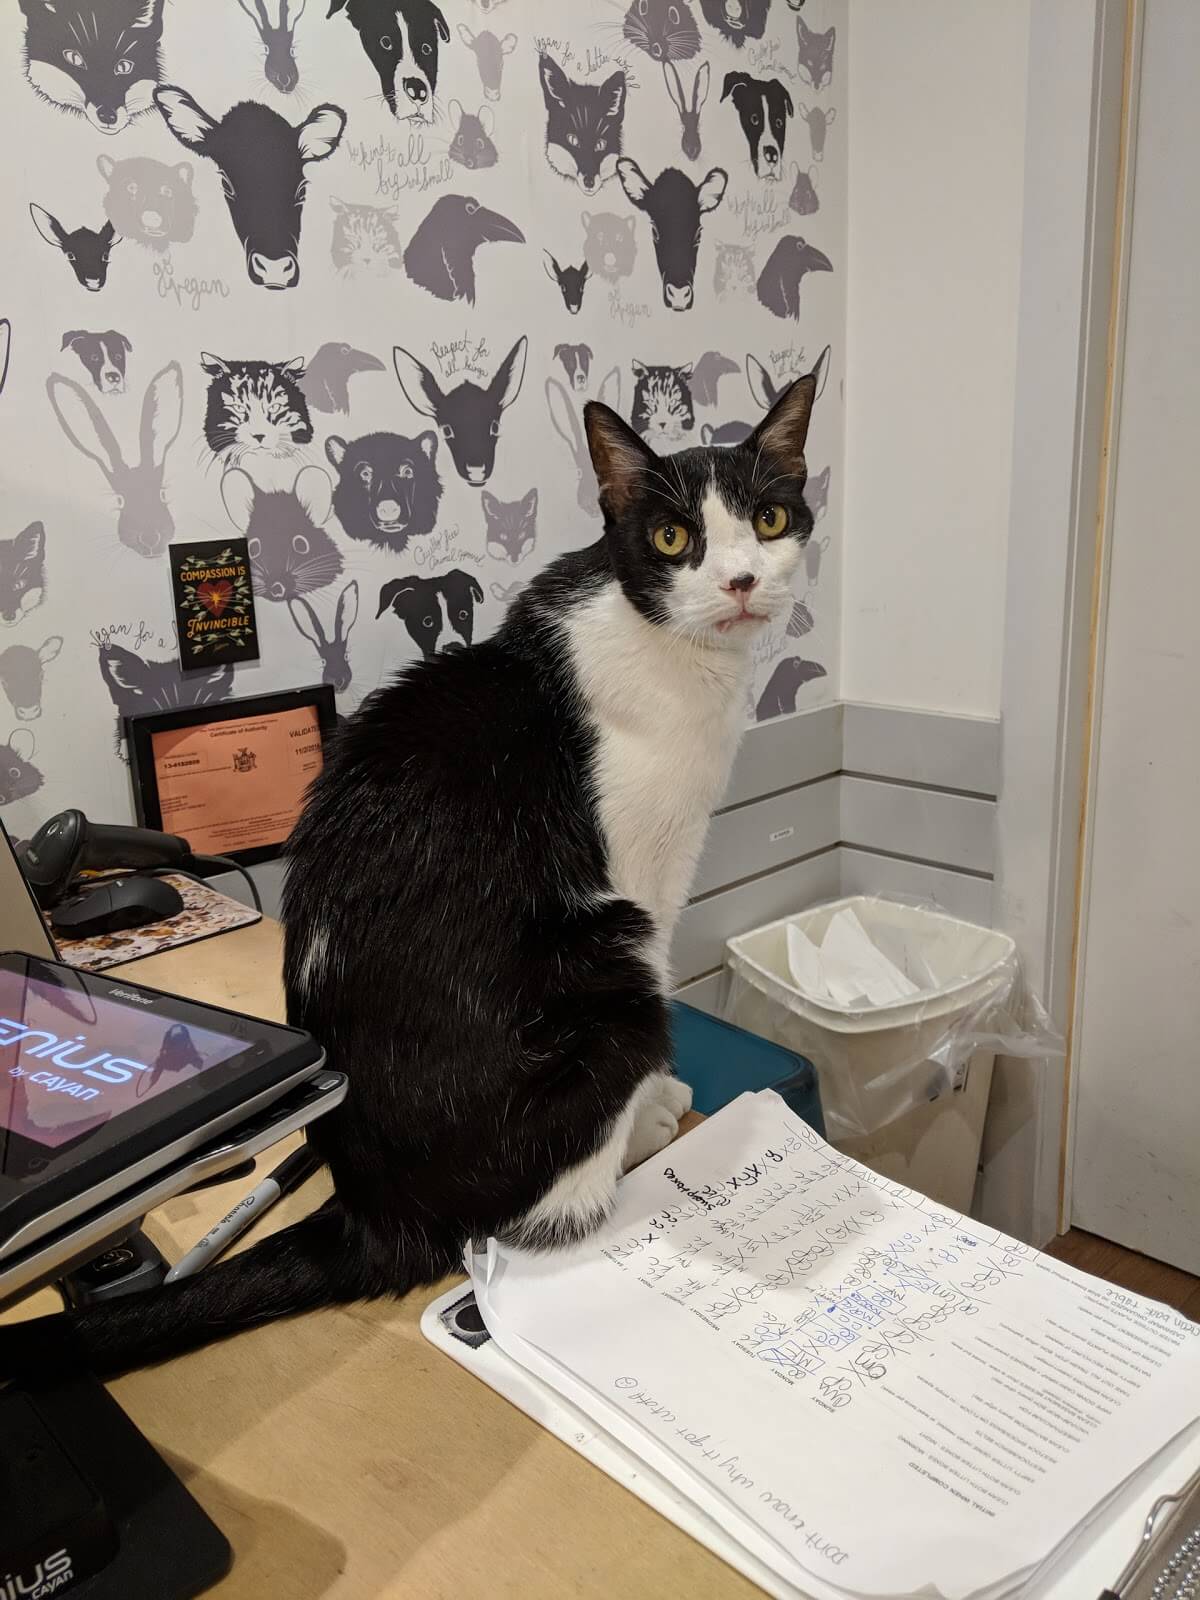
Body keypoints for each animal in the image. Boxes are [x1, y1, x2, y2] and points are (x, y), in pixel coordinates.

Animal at [0, 370, 822, 1376]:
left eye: (771, 520)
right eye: (675, 539)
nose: (742, 580)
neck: (662, 642)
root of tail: (376, 1212)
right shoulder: (644, 865)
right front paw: (658, 1107)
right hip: (610, 956)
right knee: (539, 1210)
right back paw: (636, 1139)